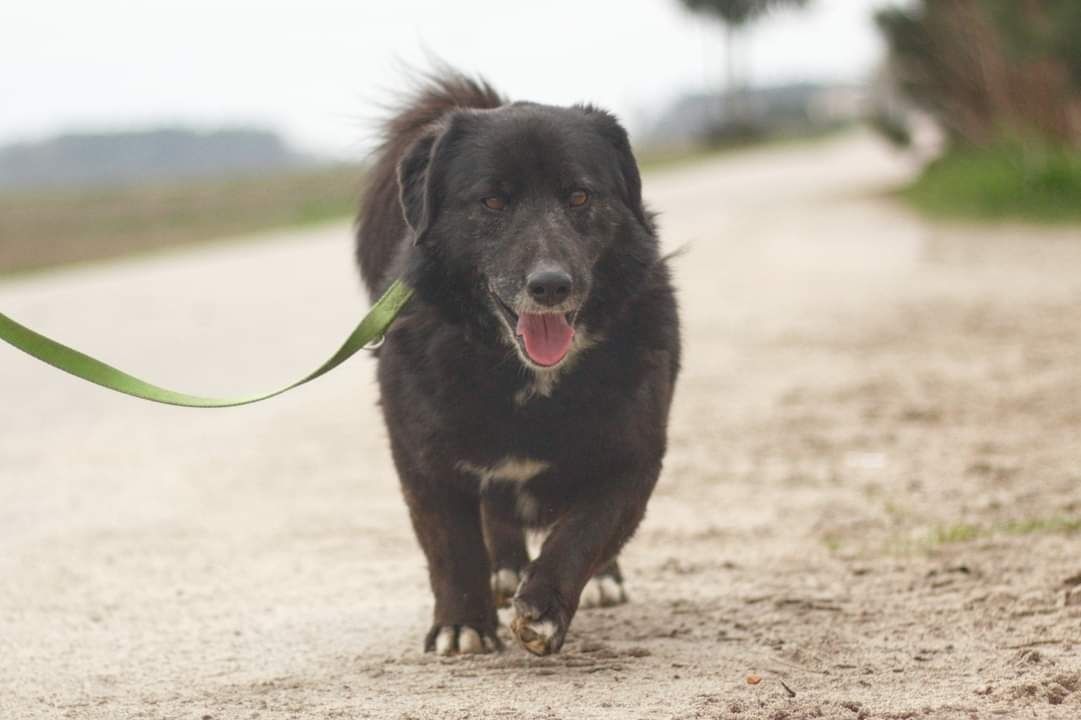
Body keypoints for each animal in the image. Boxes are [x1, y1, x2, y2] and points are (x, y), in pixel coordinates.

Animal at [358, 70, 678, 652]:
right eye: (491, 202)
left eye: (579, 195)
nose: (551, 286)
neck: (529, 378)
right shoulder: (423, 459)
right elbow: (451, 547)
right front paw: (462, 624)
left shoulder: (632, 456)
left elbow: (584, 532)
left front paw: (545, 607)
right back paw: (503, 573)